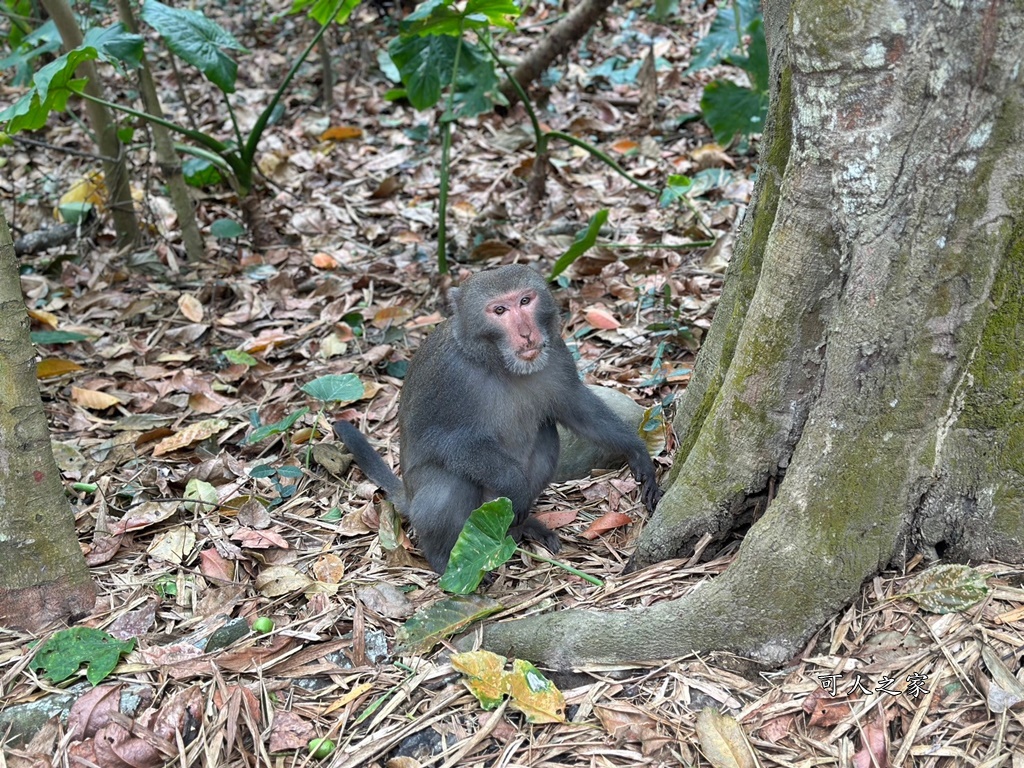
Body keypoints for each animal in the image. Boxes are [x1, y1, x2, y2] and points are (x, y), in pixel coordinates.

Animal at [331, 268, 659, 573]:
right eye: (499, 310)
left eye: (525, 301)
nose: (526, 333)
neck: (498, 363)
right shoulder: (449, 375)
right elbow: (443, 441)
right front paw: (515, 486)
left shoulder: (555, 351)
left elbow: (577, 408)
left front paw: (637, 451)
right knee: (450, 481)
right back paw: (442, 559)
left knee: (546, 436)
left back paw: (520, 528)